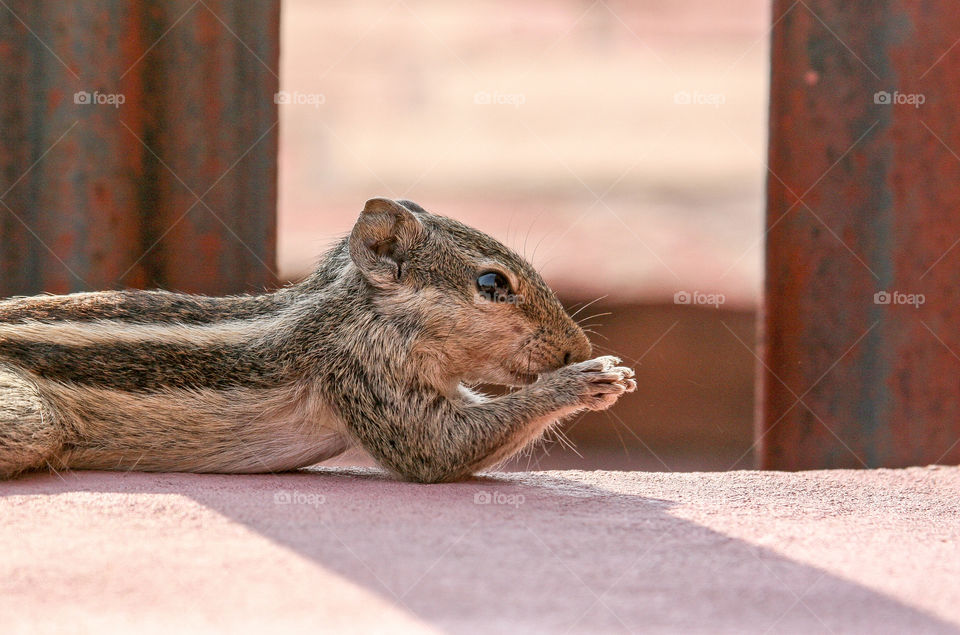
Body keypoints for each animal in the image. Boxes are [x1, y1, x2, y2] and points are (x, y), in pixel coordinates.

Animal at [0, 198, 635, 483]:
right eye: (491, 283)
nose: (575, 348)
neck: (357, 312)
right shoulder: (363, 373)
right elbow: (437, 449)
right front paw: (585, 381)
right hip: (30, 417)